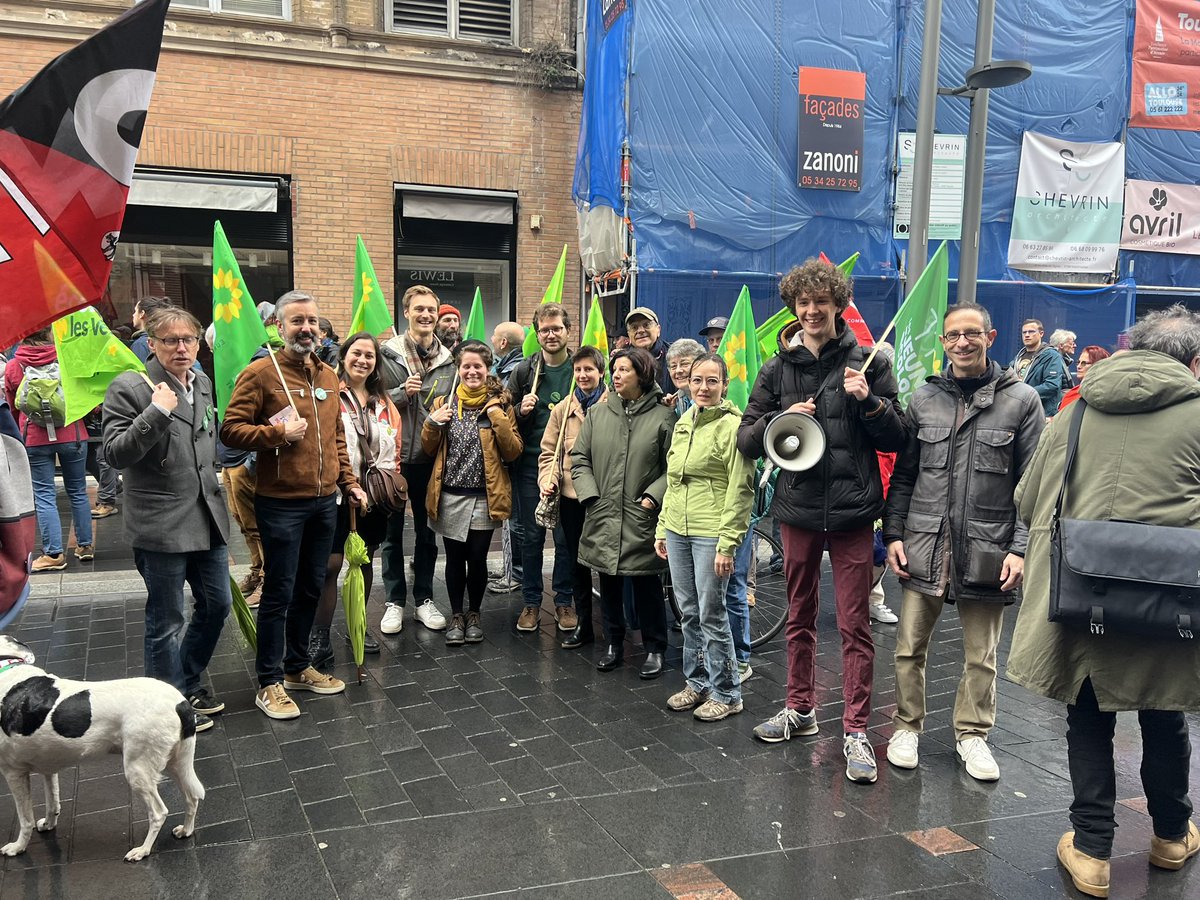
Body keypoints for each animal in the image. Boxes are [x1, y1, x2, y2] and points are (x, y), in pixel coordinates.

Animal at [0, 633, 205, 859]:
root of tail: (180, 702)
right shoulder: (48, 769)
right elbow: (52, 803)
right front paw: (48, 824)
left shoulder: (14, 773)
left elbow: (25, 818)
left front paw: (18, 847)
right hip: (176, 763)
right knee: (192, 797)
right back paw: (186, 830)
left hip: (138, 770)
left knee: (159, 812)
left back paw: (143, 850)